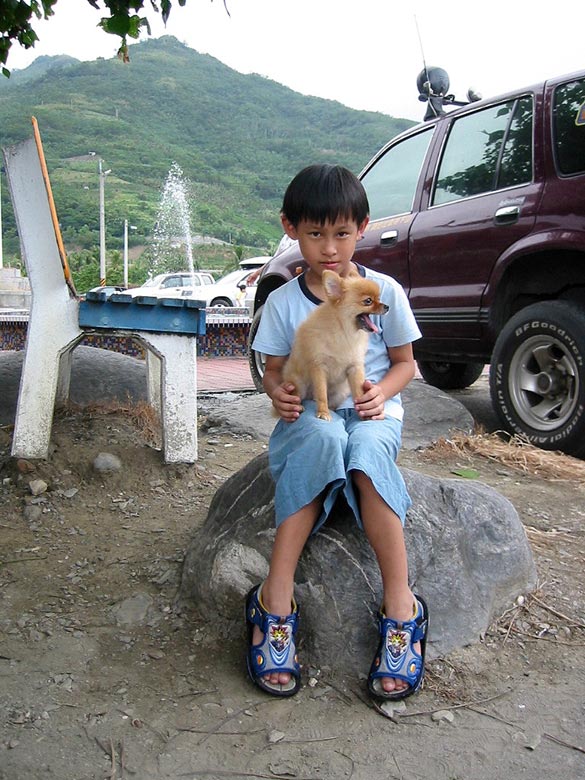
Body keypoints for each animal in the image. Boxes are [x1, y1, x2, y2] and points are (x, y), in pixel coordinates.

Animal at [282, 270, 389, 420]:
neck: (343, 330)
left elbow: (359, 392)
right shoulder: (319, 367)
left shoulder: (354, 368)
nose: (387, 306)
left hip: (340, 393)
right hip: (298, 384)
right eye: (368, 301)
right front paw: (323, 413)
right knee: (298, 397)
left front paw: (366, 411)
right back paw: (298, 407)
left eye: (379, 298)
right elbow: (321, 394)